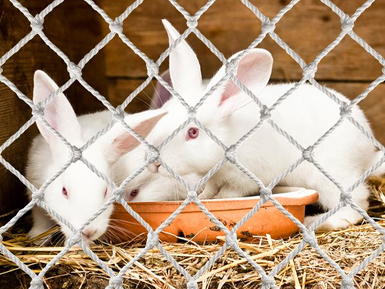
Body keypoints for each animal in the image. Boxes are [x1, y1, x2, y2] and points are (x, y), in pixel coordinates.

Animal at [140, 20, 382, 231]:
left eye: (192, 132)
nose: (154, 162)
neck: (229, 138)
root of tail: (367, 152)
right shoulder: (214, 178)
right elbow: (209, 190)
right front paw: (202, 197)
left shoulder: (244, 179)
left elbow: (229, 195)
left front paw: (217, 200)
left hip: (331, 176)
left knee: (356, 205)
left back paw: (318, 221)